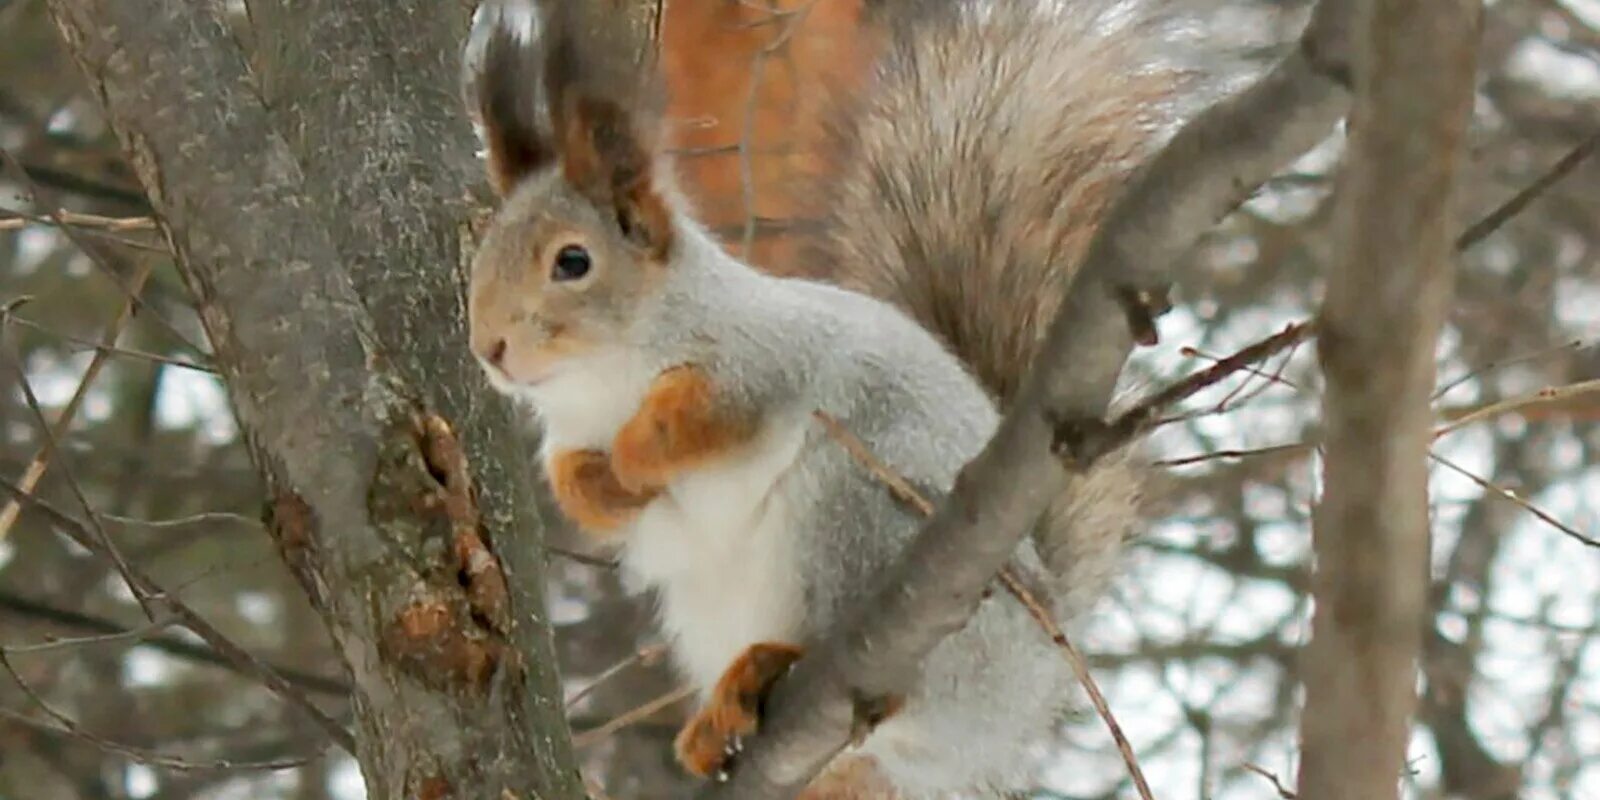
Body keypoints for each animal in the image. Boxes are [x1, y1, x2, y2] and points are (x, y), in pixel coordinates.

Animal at [460, 0, 1177, 796]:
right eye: (483, 249)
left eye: (573, 262)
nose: (488, 347)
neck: (601, 381)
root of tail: (1031, 696)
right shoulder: (566, 429)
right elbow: (571, 477)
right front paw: (602, 488)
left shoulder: (768, 358)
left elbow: (711, 416)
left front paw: (638, 453)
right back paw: (719, 724)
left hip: (857, 517)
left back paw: (774, 666)